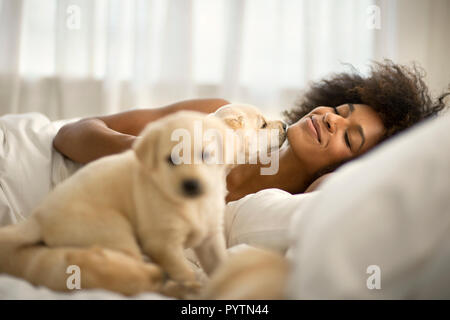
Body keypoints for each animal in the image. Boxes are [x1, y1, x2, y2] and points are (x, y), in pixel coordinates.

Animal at [0, 112, 230, 296]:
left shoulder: (210, 237)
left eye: (205, 155)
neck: (193, 204)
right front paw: (192, 286)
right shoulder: (163, 243)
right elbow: (183, 270)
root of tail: (38, 218)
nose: (192, 184)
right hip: (114, 232)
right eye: (171, 159)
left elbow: (220, 263)